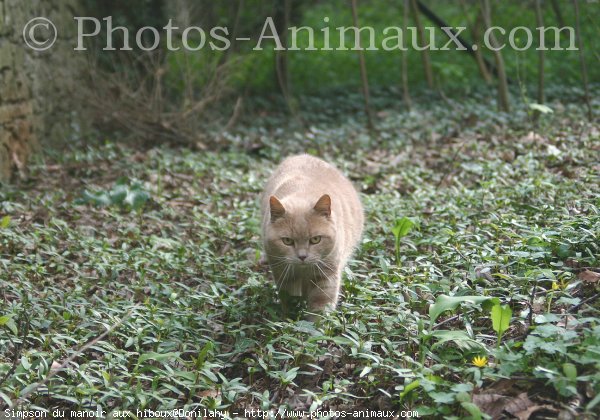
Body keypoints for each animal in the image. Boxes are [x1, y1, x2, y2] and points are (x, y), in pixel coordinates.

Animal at [260, 153, 364, 316]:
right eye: (287, 241)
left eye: (315, 239)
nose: (302, 256)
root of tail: (303, 155)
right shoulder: (284, 273)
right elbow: (289, 300)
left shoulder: (326, 276)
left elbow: (320, 307)